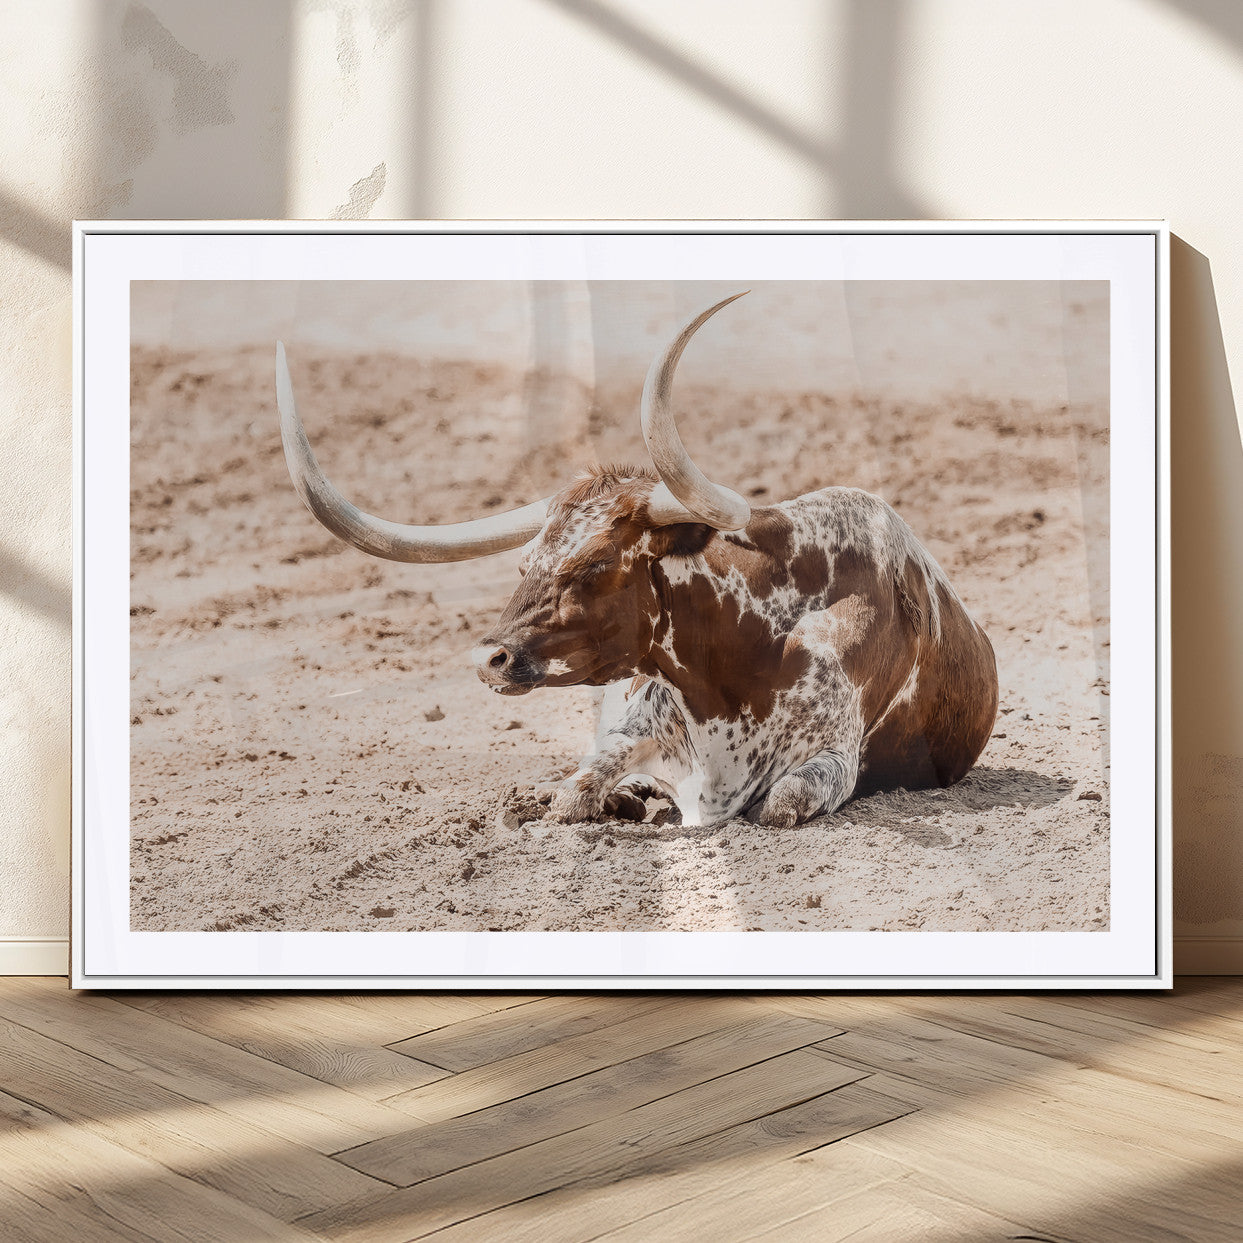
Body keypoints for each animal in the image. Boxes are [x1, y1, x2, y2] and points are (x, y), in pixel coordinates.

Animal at [276, 293, 998, 829]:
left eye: (595, 567)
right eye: (524, 563)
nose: (490, 659)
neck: (744, 658)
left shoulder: (831, 760)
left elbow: (778, 803)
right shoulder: (632, 724)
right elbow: (575, 791)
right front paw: (599, 798)